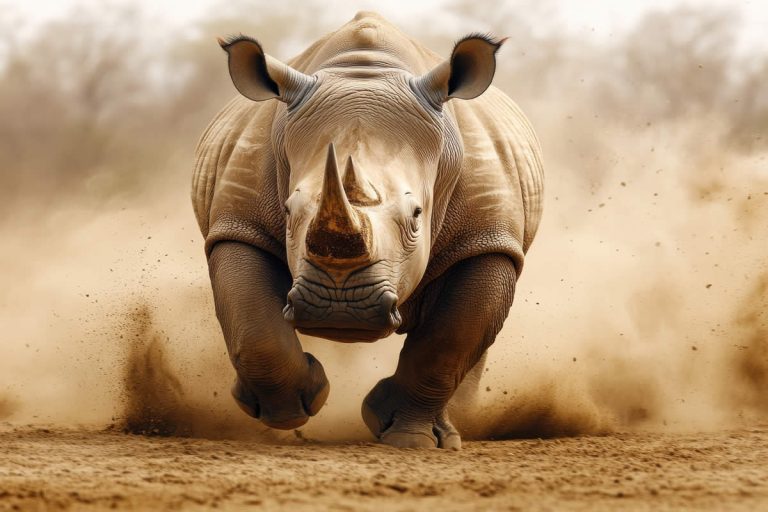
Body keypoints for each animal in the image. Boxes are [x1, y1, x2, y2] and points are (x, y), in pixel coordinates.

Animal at [192, 11, 544, 449]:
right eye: (289, 210)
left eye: (417, 215)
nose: (340, 308)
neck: (366, 70)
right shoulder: (239, 225)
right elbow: (255, 327)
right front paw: (291, 409)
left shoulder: (487, 242)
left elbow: (448, 342)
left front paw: (408, 439)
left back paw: (450, 434)